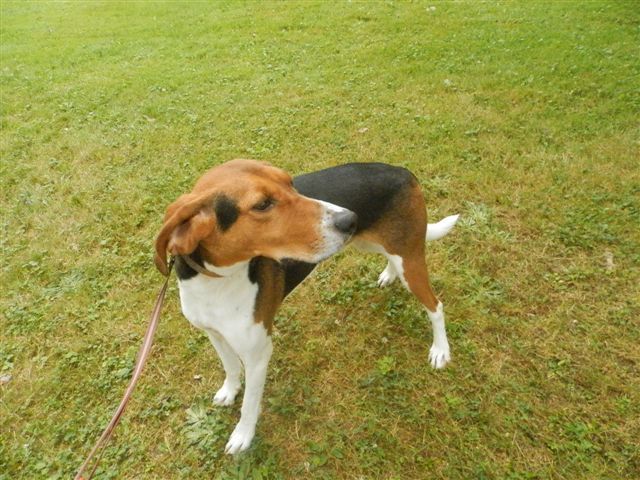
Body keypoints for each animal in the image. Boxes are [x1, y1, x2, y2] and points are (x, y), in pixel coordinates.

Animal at [158, 160, 462, 454]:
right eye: (262, 204)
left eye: (290, 181)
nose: (349, 219)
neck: (217, 281)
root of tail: (401, 171)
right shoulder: (215, 334)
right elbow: (231, 368)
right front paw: (230, 391)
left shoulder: (258, 354)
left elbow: (249, 404)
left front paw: (243, 435)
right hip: (372, 243)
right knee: (391, 260)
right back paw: (388, 275)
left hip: (409, 260)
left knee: (436, 307)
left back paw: (440, 350)